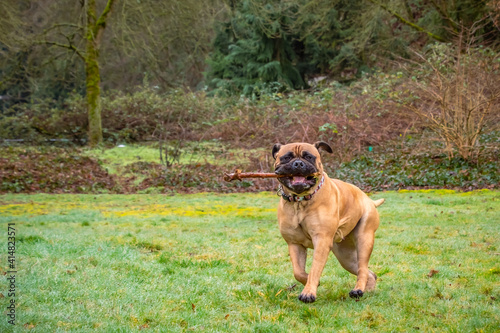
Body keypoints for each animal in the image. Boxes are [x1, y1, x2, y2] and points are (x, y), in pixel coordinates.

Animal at [272, 141, 384, 302]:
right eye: (286, 157)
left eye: (309, 157)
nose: (298, 163)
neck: (300, 201)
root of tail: (369, 200)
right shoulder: (294, 244)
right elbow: (298, 272)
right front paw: (311, 282)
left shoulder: (322, 241)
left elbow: (315, 268)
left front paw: (308, 292)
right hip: (346, 256)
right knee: (368, 272)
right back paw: (366, 290)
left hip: (364, 239)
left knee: (363, 268)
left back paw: (357, 290)